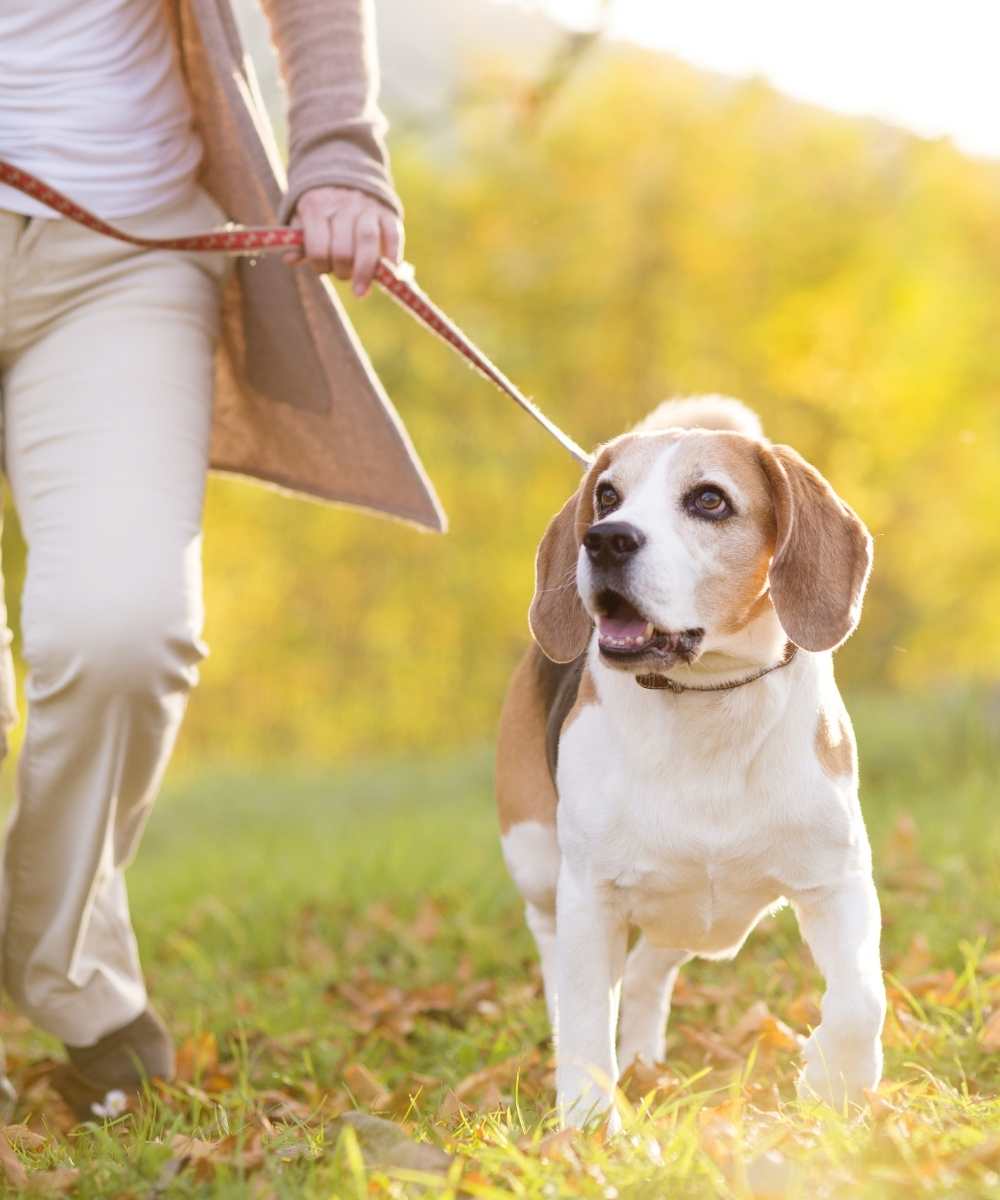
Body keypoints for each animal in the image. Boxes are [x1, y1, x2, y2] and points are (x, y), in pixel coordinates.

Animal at [496, 396, 883, 1123]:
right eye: (607, 495)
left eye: (709, 500)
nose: (605, 538)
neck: (708, 699)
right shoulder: (590, 896)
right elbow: (586, 1020)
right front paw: (587, 1124)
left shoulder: (837, 880)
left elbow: (862, 1001)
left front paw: (831, 1079)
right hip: (537, 862)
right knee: (559, 959)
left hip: (697, 923)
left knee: (648, 971)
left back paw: (645, 1060)